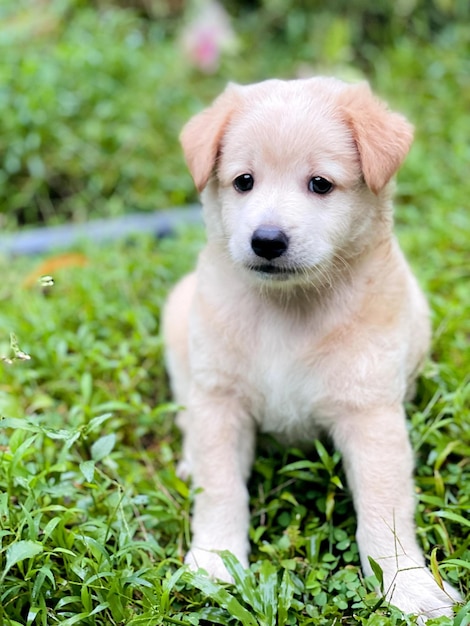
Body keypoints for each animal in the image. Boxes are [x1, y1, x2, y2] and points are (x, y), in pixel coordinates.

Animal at [161, 78, 458, 620]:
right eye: (243, 181)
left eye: (320, 184)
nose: (267, 240)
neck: (288, 309)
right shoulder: (220, 399)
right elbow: (220, 488)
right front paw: (213, 563)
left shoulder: (370, 412)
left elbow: (384, 511)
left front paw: (408, 586)